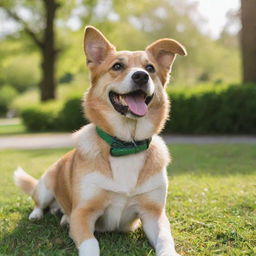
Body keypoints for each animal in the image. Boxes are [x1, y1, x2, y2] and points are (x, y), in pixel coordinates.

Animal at [13, 26, 186, 256]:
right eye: (117, 66)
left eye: (150, 67)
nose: (141, 76)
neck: (126, 144)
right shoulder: (83, 213)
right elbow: (91, 243)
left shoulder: (154, 214)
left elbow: (165, 239)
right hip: (46, 185)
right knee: (39, 202)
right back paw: (38, 215)